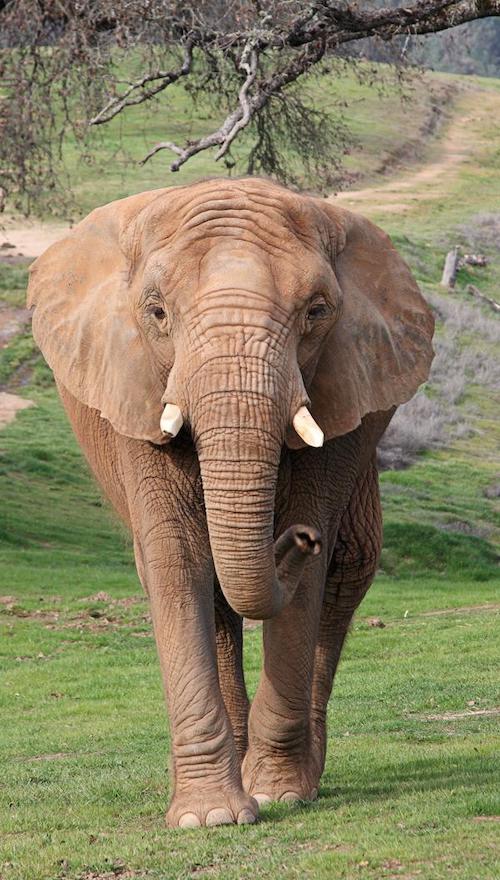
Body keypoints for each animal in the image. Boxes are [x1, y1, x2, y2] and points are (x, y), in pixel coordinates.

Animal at [27, 177, 434, 829]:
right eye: (157, 312)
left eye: (317, 311)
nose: (297, 537)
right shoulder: (134, 385)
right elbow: (175, 558)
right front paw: (210, 818)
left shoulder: (340, 383)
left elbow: (310, 576)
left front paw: (276, 795)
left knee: (349, 566)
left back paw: (299, 776)